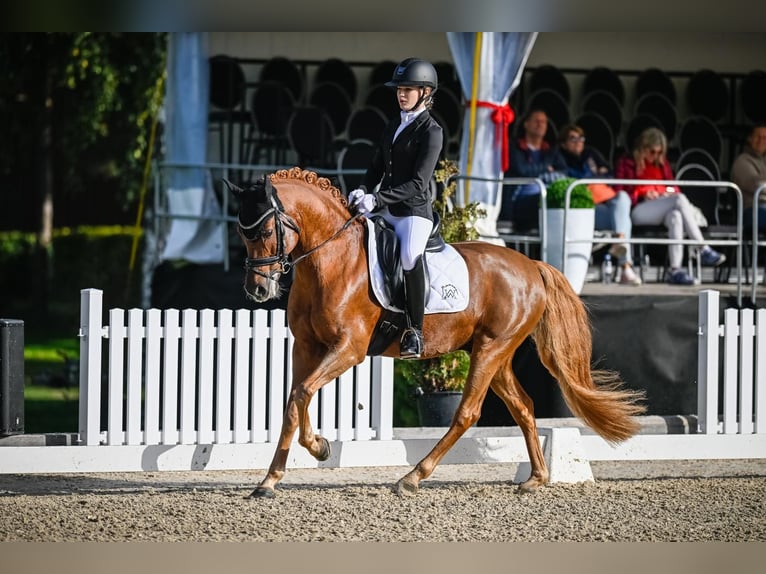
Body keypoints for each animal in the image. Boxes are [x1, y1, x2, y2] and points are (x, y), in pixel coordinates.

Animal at [226, 168, 648, 500]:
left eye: (266, 229)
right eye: (240, 233)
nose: (257, 290)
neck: (332, 261)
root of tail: (531, 265)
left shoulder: (349, 349)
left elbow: (302, 393)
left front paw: (318, 448)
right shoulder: (306, 347)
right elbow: (294, 400)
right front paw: (270, 480)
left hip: (490, 350)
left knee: (467, 413)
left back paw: (413, 477)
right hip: (496, 353)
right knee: (523, 406)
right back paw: (536, 478)